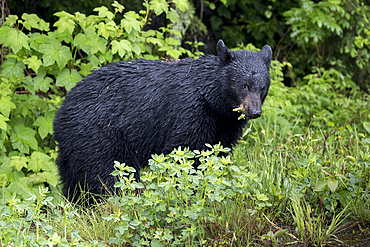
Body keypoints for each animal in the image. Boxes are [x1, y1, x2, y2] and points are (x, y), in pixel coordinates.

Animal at [52, 39, 272, 200]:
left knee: (73, 180)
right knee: (110, 174)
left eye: (262, 87)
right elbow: (184, 151)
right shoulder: (189, 111)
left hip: (74, 148)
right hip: (99, 135)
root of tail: (61, 113)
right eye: (243, 85)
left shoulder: (226, 125)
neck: (213, 101)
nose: (254, 111)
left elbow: (218, 152)